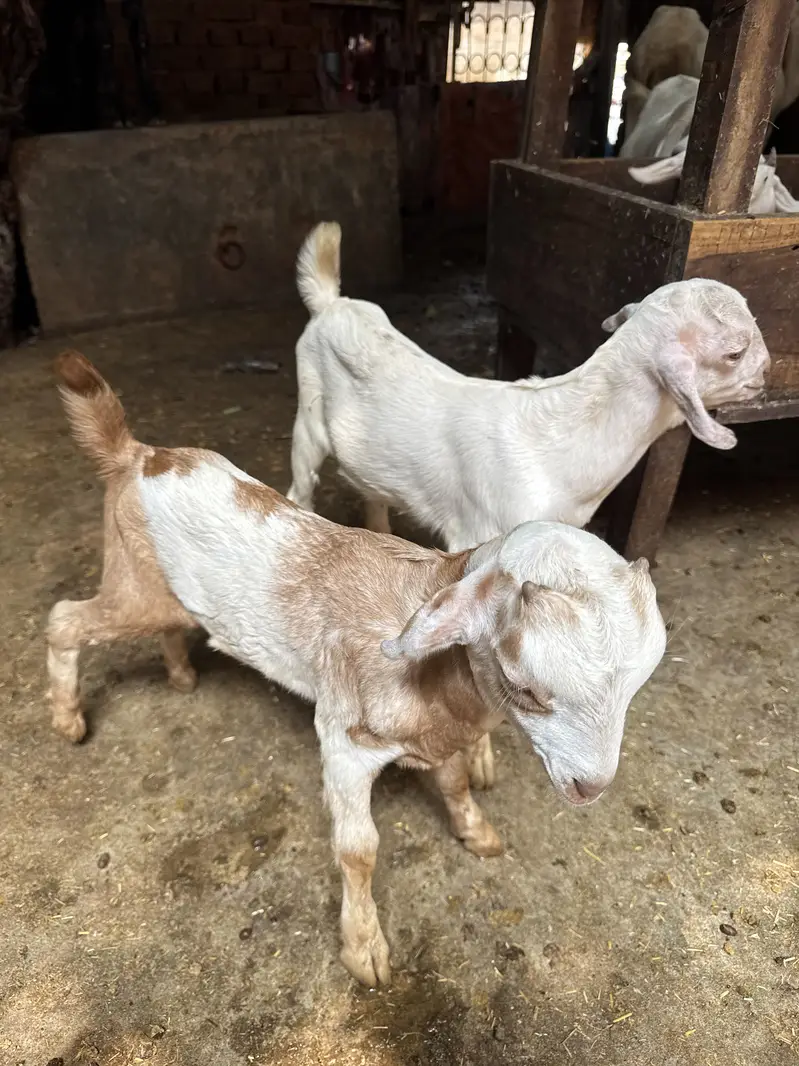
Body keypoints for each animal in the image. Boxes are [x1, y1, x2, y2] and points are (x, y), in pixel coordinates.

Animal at [47, 350, 667, 986]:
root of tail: (138, 454)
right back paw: (68, 718)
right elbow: (358, 848)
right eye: (526, 687)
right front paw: (365, 948)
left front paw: (478, 834)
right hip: (134, 584)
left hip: (159, 588)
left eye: (636, 687)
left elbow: (454, 781)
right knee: (65, 620)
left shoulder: (443, 733)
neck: (439, 682)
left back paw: (180, 675)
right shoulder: (343, 737)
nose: (592, 787)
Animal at [287, 223, 770, 790]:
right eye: (735, 352)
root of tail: (332, 303)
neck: (558, 446)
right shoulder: (479, 536)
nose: (768, 371)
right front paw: (480, 760)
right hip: (307, 419)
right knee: (300, 484)